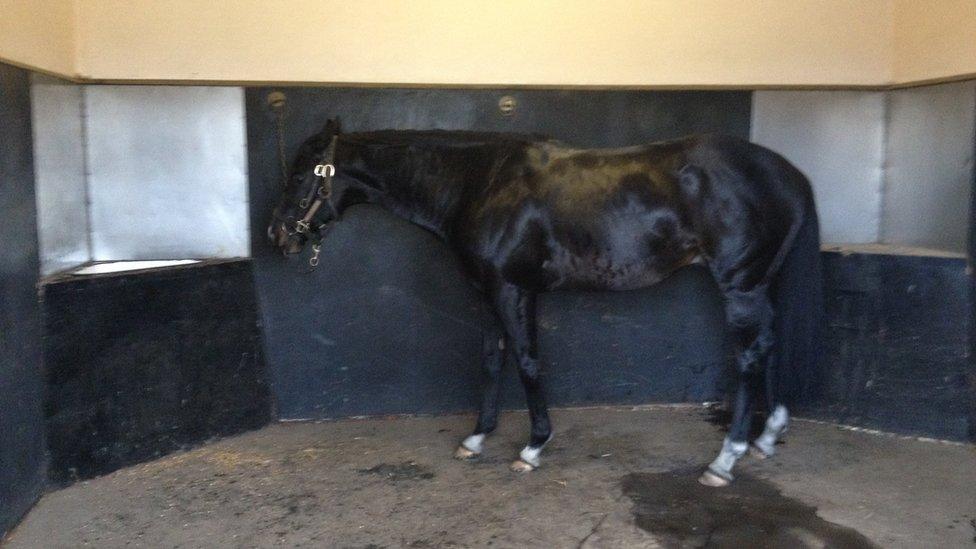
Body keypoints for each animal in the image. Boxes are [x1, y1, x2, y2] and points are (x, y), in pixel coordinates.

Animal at [266, 119, 824, 484]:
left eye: (301, 175)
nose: (278, 236)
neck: (482, 183)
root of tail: (791, 176)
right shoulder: (490, 292)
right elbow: (492, 361)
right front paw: (476, 439)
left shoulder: (510, 290)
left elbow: (528, 361)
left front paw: (533, 445)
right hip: (762, 284)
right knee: (769, 344)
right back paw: (766, 437)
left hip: (741, 286)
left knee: (749, 357)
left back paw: (725, 460)